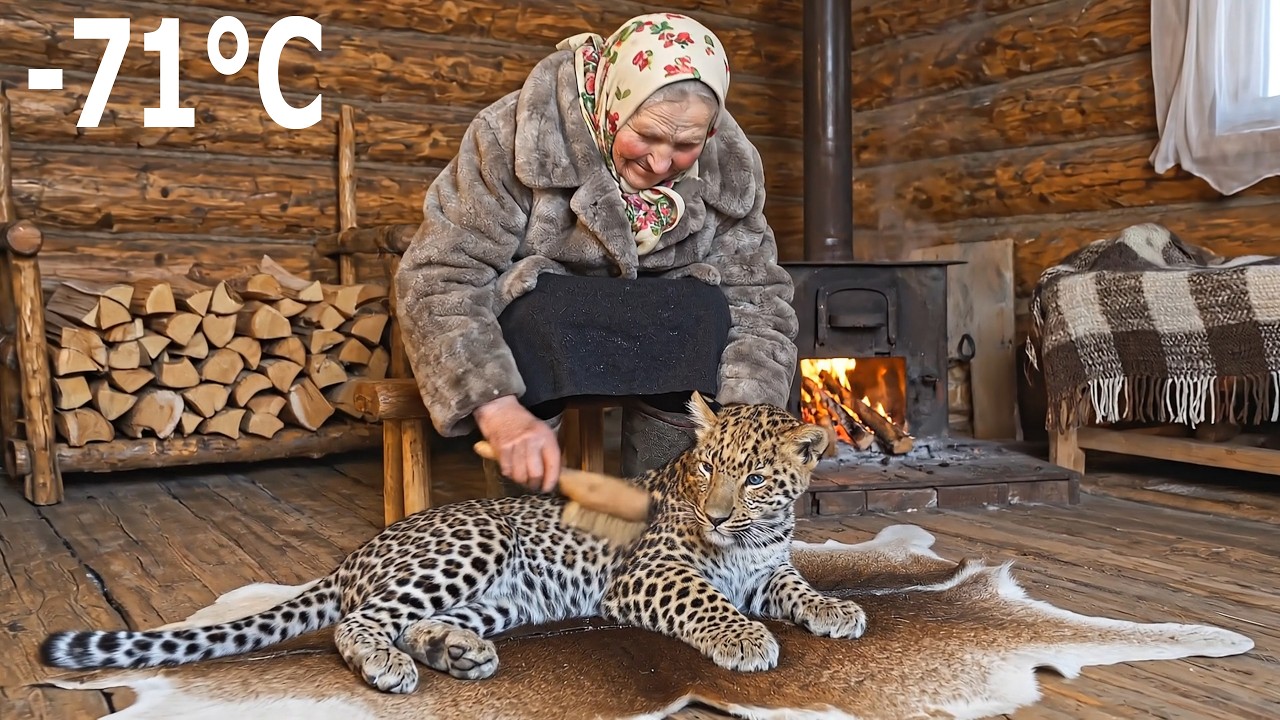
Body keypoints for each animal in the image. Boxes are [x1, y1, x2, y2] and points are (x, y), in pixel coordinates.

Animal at [40, 392, 867, 694]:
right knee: (357, 621)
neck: (752, 537)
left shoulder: (768, 567)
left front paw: (838, 611)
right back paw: (388, 666)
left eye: (753, 478)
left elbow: (795, 583)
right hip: (474, 545)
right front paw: (745, 639)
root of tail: (360, 550)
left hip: (498, 597)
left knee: (415, 622)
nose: (719, 518)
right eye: (704, 469)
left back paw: (457, 653)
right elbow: (707, 601)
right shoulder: (651, 572)